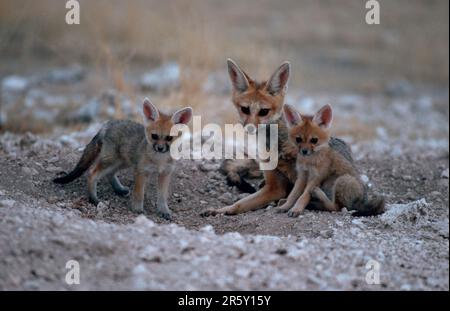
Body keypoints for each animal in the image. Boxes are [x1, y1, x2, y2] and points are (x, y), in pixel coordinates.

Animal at [53, 98, 193, 221]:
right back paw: (93, 199)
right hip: (112, 161)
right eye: (154, 136)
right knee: (92, 173)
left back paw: (118, 189)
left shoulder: (165, 174)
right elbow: (139, 193)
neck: (159, 160)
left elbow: (162, 197)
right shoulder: (141, 172)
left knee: (109, 174)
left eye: (169, 138)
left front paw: (164, 211)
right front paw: (137, 209)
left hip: (122, 162)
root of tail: (108, 124)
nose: (160, 148)